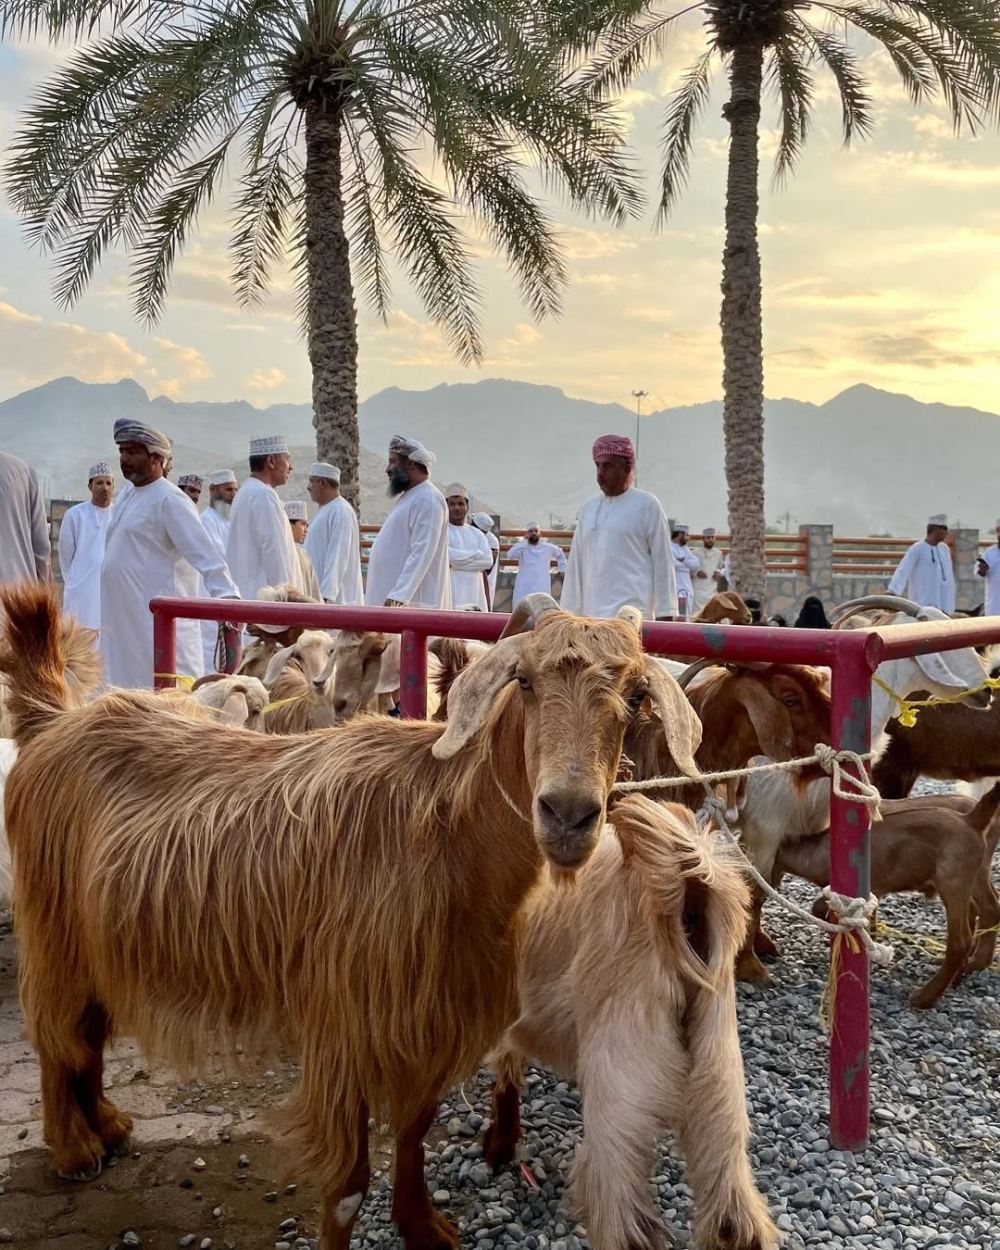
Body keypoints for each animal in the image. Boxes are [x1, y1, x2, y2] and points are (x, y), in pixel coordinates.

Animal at [0, 585, 702, 1249]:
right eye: (524, 681)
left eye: (637, 694)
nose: (568, 814)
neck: (443, 829)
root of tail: (53, 721)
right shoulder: (343, 1025)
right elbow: (347, 1186)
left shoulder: (429, 1017)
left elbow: (415, 1127)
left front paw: (422, 1226)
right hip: (52, 925)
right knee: (54, 1032)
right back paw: (74, 1148)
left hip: (99, 935)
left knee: (87, 1031)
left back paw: (108, 1123)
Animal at [484, 797, 777, 1250]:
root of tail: (685, 895)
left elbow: (505, 1074)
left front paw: (500, 1144)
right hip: (720, 1083)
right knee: (734, 1213)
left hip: (618, 1090)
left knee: (622, 1216)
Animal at [774, 784, 1000, 1008]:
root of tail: (971, 819)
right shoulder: (873, 894)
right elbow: (868, 924)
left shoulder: (861, 889)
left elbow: (820, 906)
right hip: (971, 879)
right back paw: (960, 974)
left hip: (953, 881)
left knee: (962, 939)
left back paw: (926, 996)